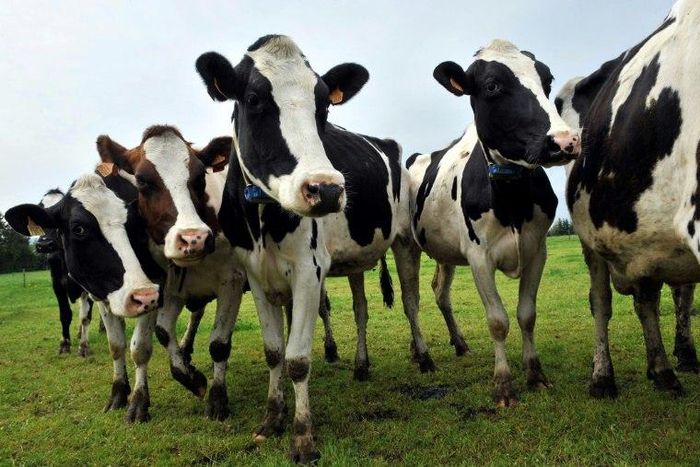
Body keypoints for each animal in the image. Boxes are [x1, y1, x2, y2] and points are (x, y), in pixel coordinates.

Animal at [33, 188, 96, 356]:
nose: (44, 245)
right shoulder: (57, 283)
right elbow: (65, 314)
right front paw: (64, 344)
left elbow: (86, 317)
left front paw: (84, 346)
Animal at [193, 34, 425, 462]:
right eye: (253, 98)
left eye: (325, 105)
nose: (327, 189)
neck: (263, 220)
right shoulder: (255, 276)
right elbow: (274, 352)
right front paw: (272, 418)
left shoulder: (308, 270)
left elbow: (298, 359)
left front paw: (303, 437)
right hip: (354, 259)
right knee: (361, 309)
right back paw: (361, 366)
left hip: (404, 241)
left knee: (411, 301)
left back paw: (424, 356)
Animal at [406, 39, 581, 407]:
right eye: (491, 86)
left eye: (547, 79)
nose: (564, 141)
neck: (510, 199)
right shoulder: (478, 258)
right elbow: (498, 321)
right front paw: (503, 385)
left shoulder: (537, 250)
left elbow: (527, 314)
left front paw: (535, 374)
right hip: (406, 245)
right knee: (411, 299)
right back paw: (423, 356)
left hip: (445, 253)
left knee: (440, 292)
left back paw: (456, 344)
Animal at [566, 0, 700, 397]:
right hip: (591, 241)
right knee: (601, 303)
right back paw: (602, 378)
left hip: (648, 238)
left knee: (650, 299)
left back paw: (664, 371)